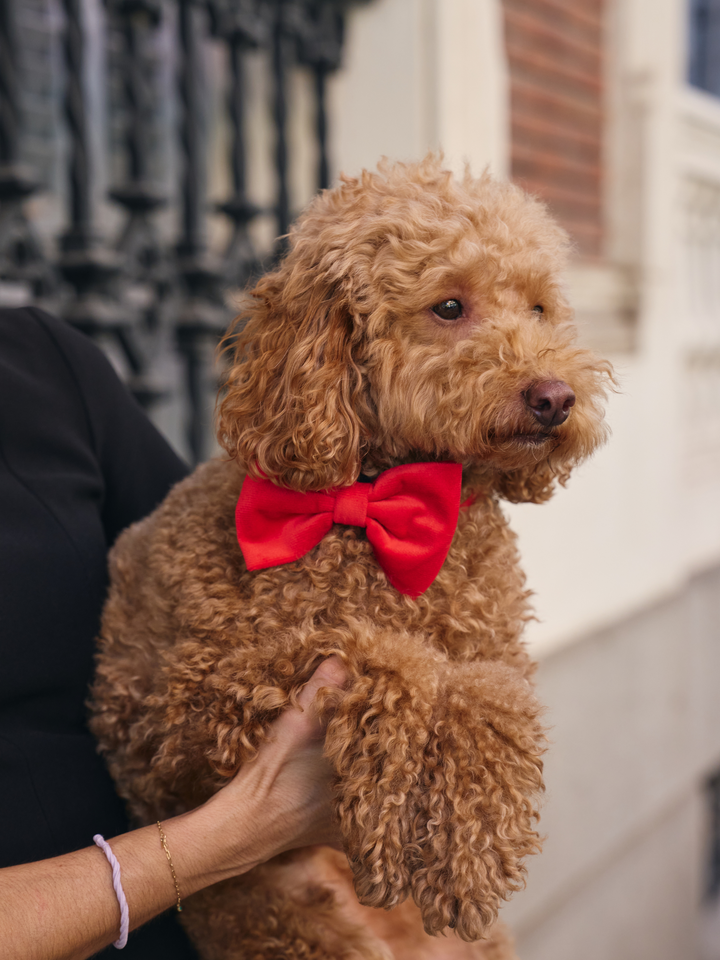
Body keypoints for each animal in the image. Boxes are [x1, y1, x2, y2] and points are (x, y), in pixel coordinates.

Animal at [87, 154, 612, 956]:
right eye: (449, 306)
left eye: (538, 309)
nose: (553, 397)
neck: (381, 500)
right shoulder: (186, 703)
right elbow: (381, 656)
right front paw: (404, 788)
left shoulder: (498, 656)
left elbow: (490, 700)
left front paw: (468, 842)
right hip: (284, 923)